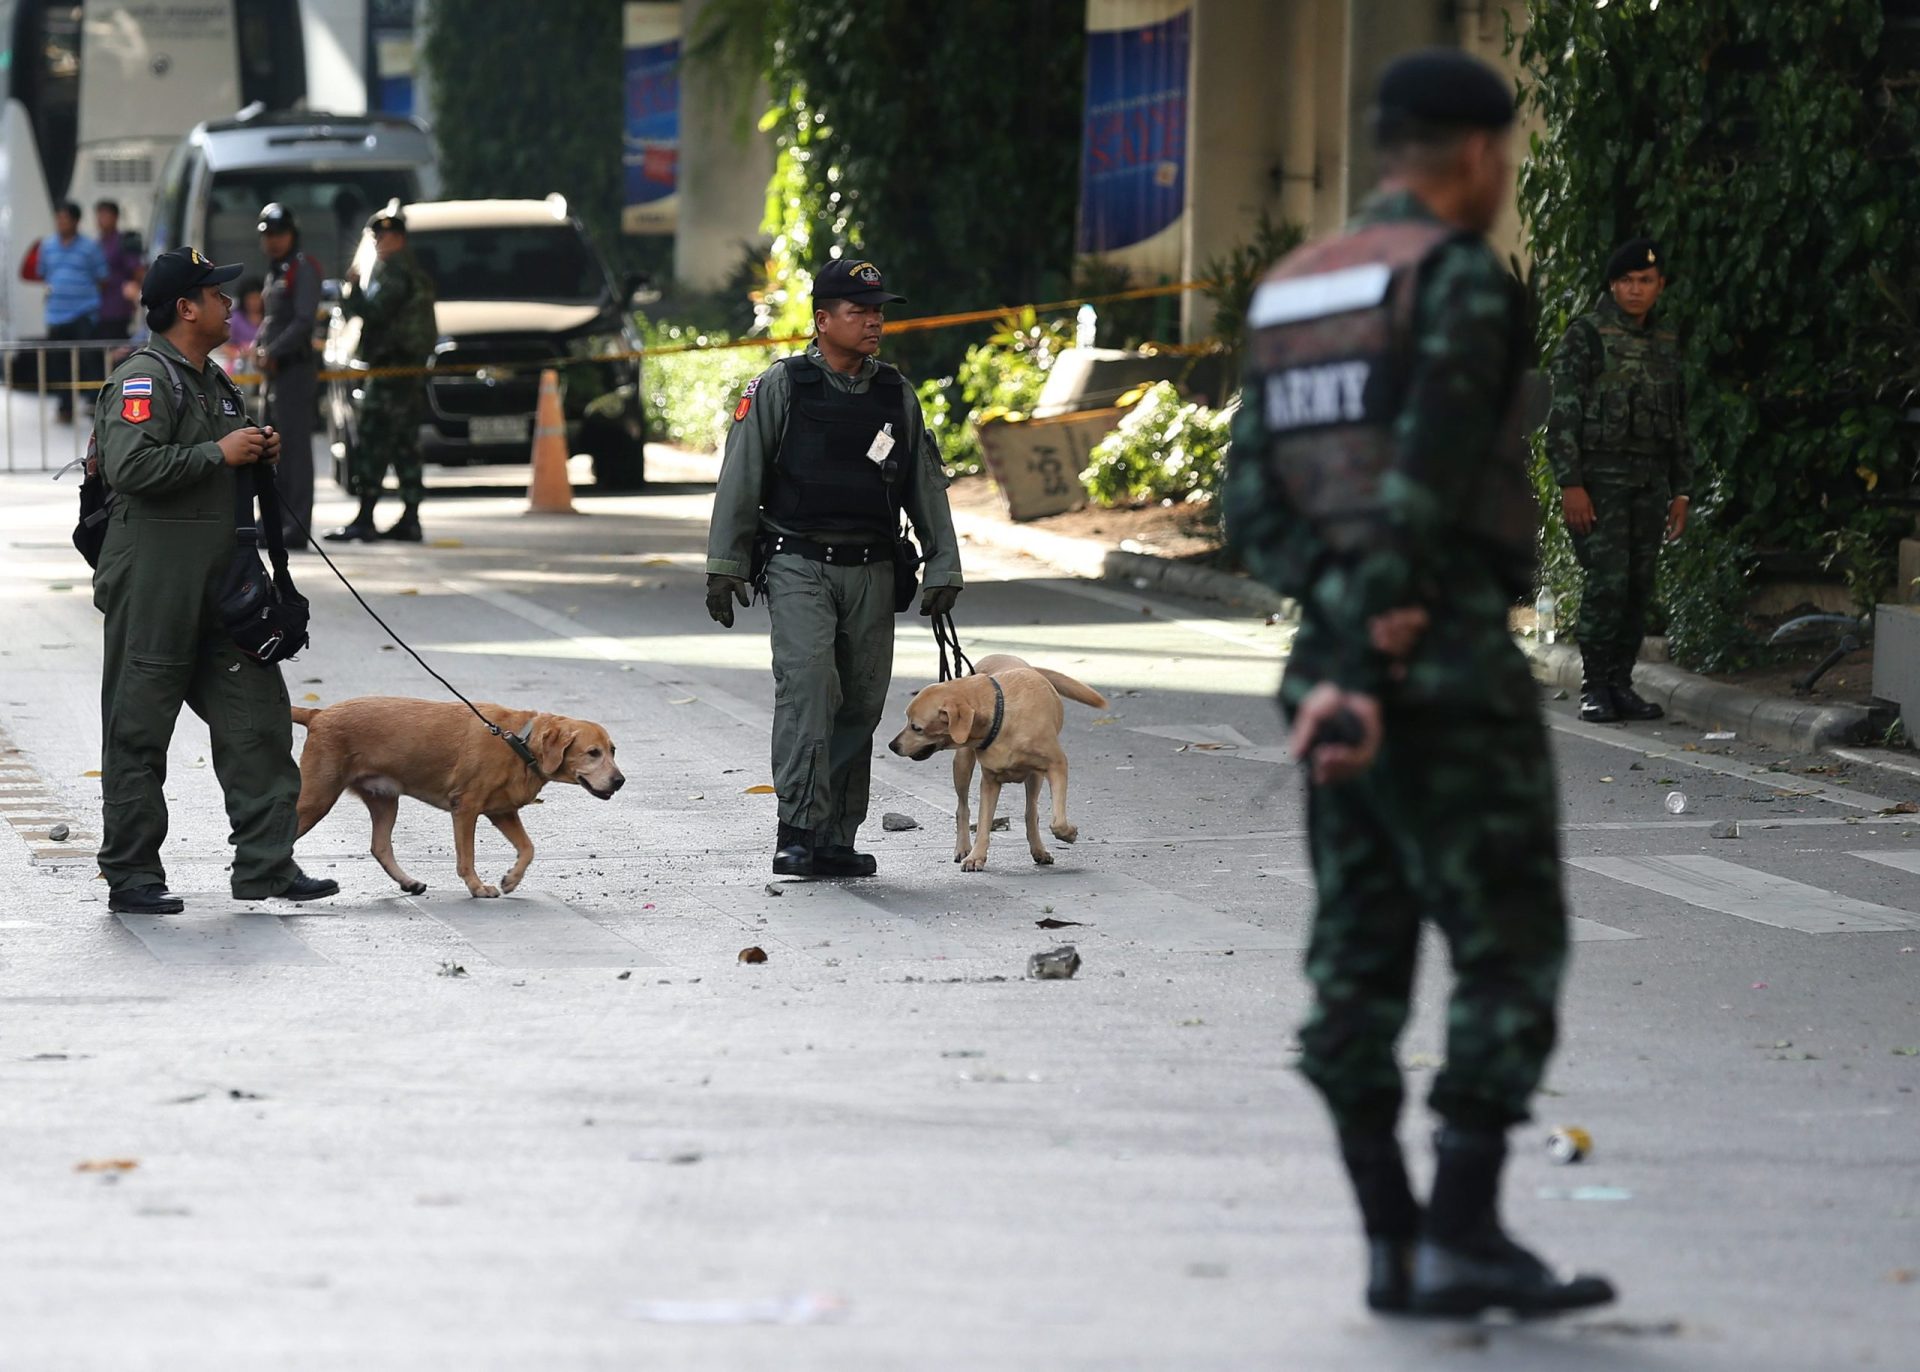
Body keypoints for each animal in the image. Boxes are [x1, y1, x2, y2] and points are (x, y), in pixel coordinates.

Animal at [288, 698, 625, 901]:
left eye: (612, 750)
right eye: (593, 753)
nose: (620, 781)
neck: (520, 742)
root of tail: (318, 714)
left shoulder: (503, 812)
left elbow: (528, 848)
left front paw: (511, 879)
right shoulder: (465, 808)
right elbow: (467, 857)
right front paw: (477, 887)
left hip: (384, 799)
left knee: (380, 846)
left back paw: (408, 882)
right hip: (317, 799)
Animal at [887, 656, 1113, 871]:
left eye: (916, 727)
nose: (892, 745)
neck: (1001, 716)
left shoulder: (1057, 765)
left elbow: (1057, 821)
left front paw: (1068, 833)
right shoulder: (989, 781)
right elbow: (983, 823)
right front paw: (976, 856)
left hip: (1035, 778)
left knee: (1031, 812)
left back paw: (1038, 849)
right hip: (962, 764)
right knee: (963, 809)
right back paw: (963, 847)